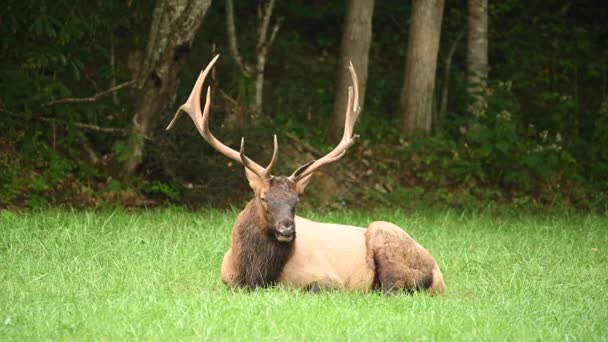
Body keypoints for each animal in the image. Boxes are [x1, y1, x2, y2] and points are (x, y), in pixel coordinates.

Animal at [166, 55, 446, 294]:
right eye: (264, 198)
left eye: (296, 201)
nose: (287, 228)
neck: (253, 275)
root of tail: (440, 278)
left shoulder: (327, 278)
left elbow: (317, 287)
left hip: (386, 236)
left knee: (391, 289)